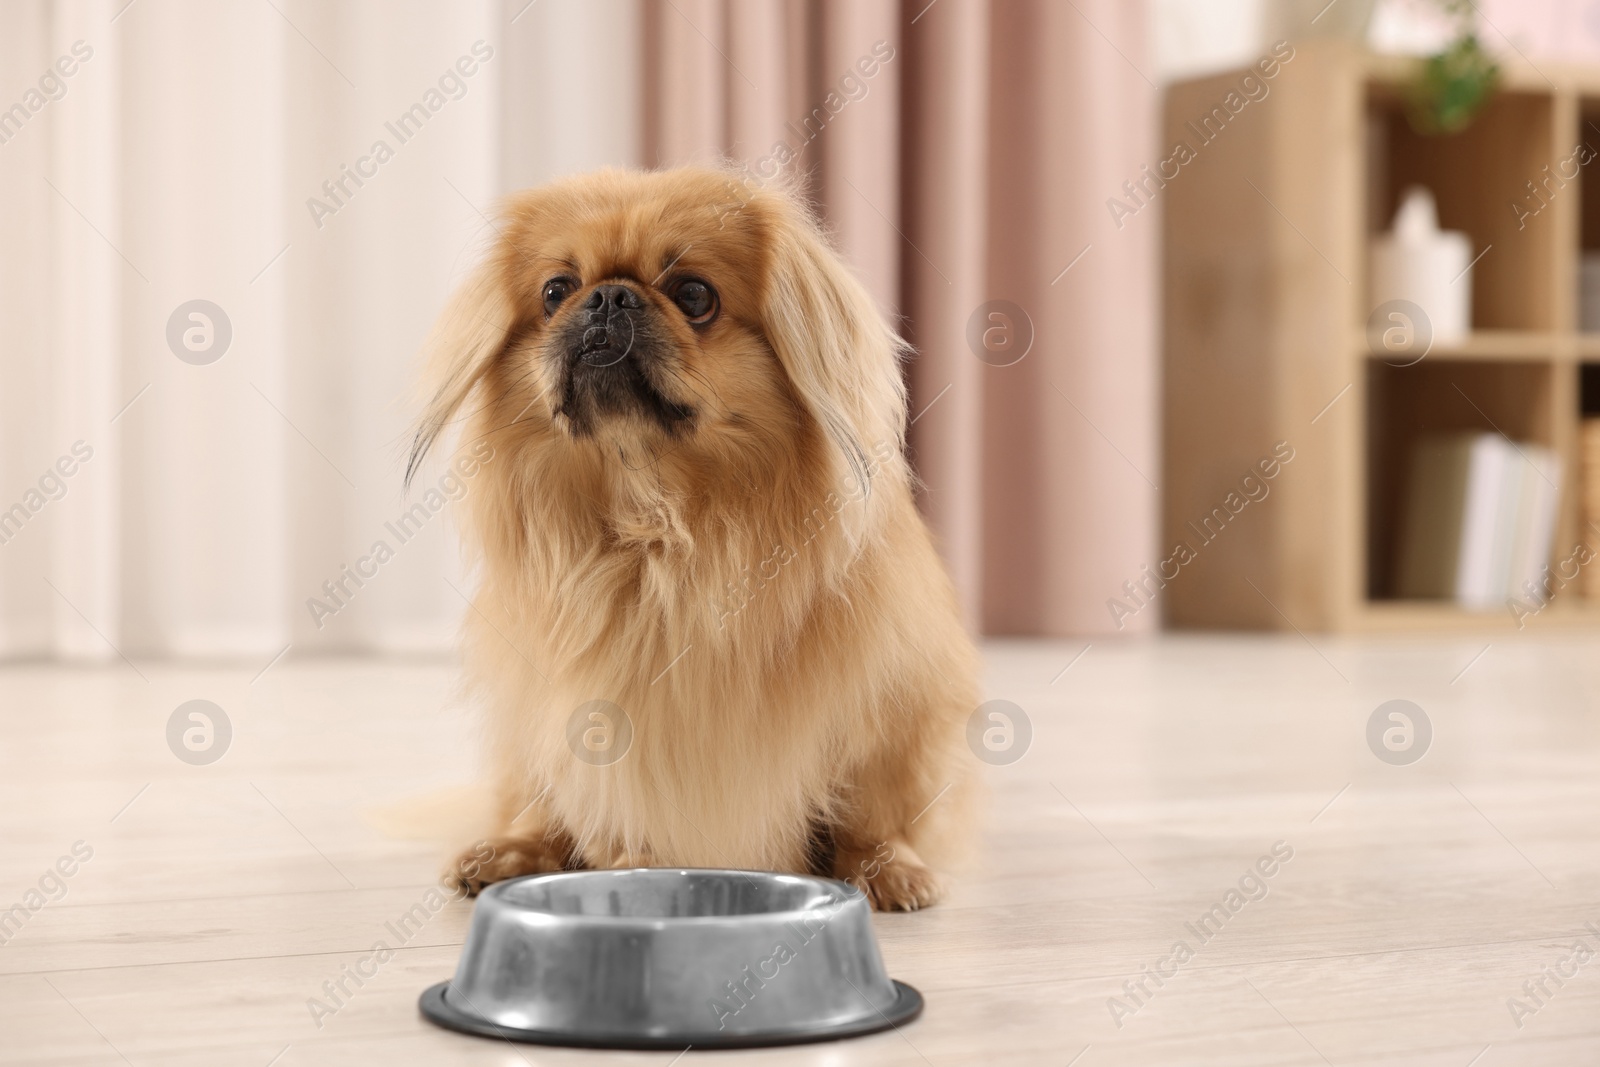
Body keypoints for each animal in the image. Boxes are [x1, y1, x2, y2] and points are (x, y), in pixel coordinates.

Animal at [406, 164, 979, 908]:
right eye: (556, 291)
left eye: (694, 295)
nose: (608, 297)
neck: (657, 518)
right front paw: (633, 867)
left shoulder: (894, 698)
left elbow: (872, 807)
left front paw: (887, 867)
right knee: (536, 806)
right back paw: (510, 851)